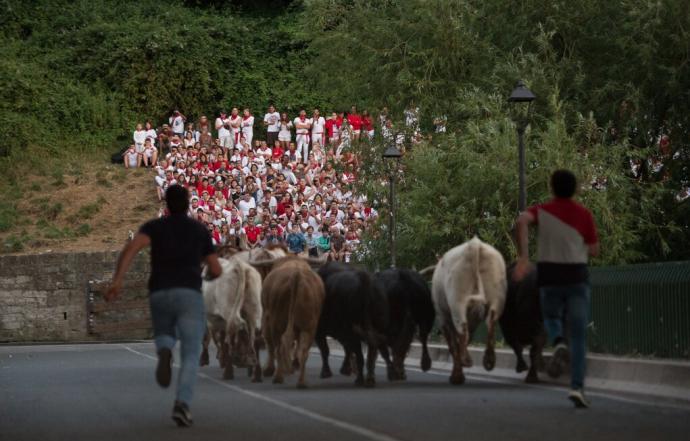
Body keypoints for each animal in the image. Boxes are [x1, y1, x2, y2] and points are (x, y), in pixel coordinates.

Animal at [430, 235, 506, 384]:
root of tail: (474, 245)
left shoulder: (443, 318)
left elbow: (454, 345)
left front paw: (457, 375)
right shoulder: (473, 320)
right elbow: (465, 341)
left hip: (457, 299)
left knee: (462, 330)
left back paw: (466, 363)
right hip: (496, 291)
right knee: (490, 324)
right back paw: (488, 360)